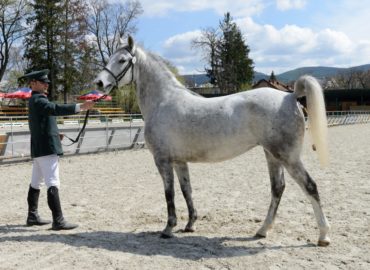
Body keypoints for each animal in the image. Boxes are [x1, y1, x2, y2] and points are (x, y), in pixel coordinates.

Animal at [94, 35, 330, 247]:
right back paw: (262, 230)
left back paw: (323, 236)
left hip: (288, 157)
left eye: (122, 60)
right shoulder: (179, 162)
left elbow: (169, 194)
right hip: (272, 155)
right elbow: (186, 191)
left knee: (310, 186)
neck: (163, 101)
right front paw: (190, 224)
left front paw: (168, 228)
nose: (99, 82)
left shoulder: (162, 160)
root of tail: (289, 96)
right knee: (278, 188)